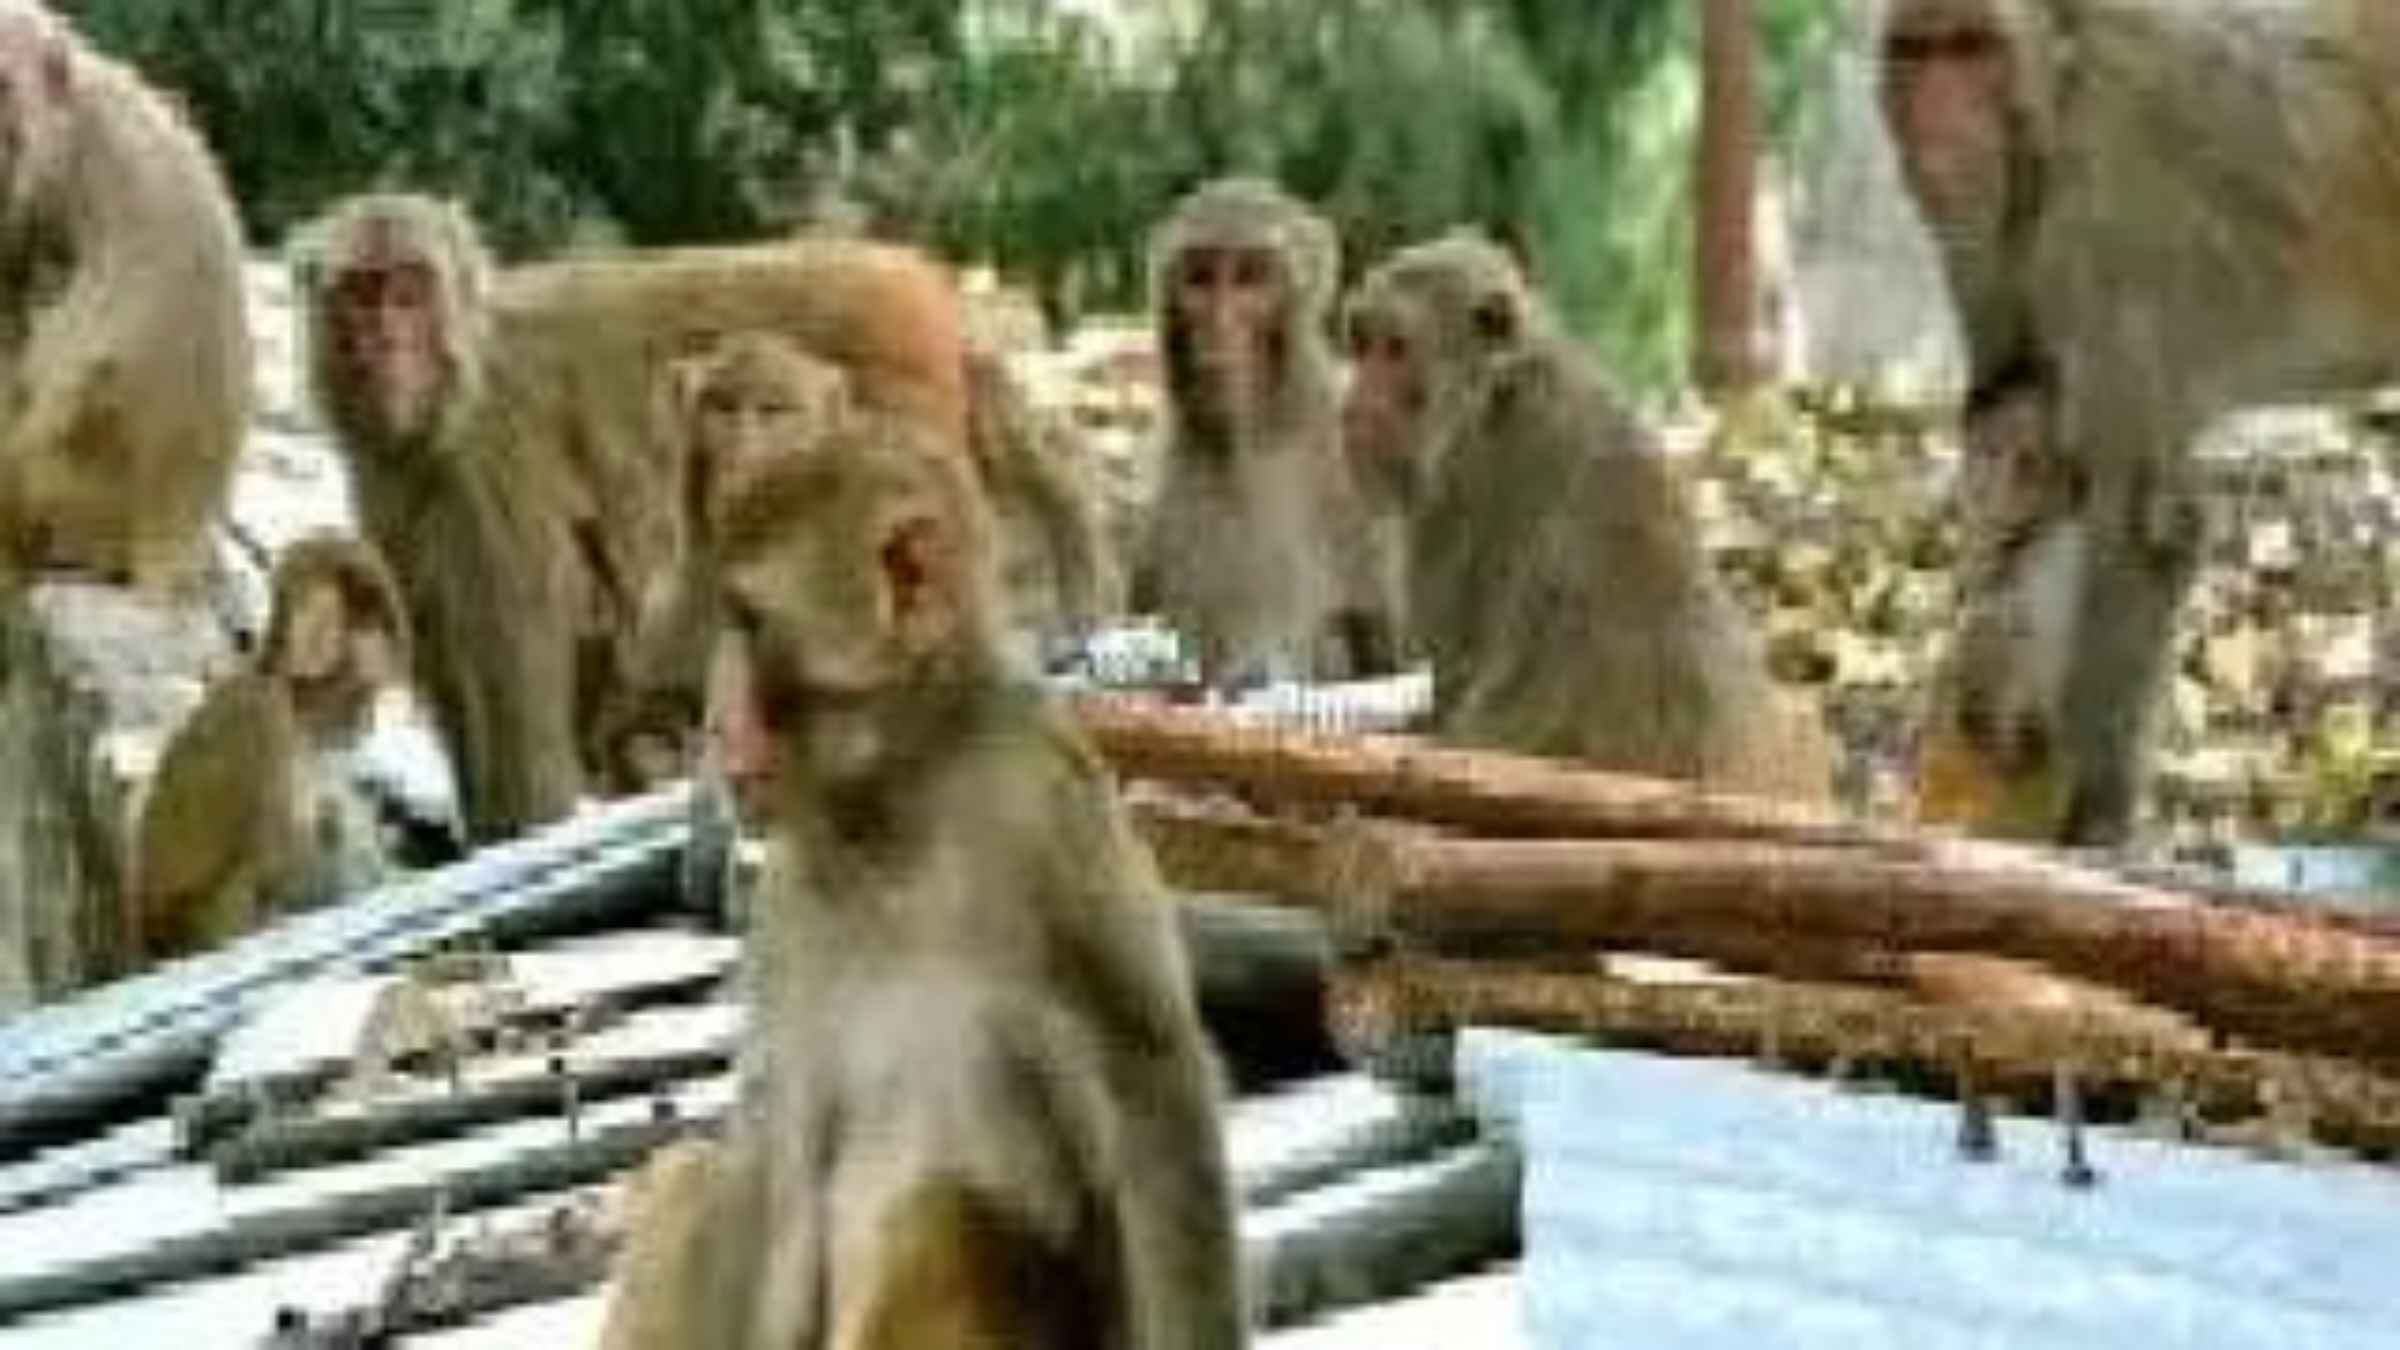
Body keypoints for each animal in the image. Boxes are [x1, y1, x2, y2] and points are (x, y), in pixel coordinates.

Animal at [598, 411, 1245, 1349]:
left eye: (747, 621)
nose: (716, 726)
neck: (897, 803)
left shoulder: (1048, 813)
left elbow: (1151, 1108)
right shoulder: (789, 905)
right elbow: (779, 1170)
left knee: (946, 1214)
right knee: (699, 1173)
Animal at [1880, 0, 2400, 843]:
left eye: (1971, 49)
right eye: (1920, 53)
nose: (1939, 118)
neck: (2060, 97)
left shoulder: (2109, 224)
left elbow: (2143, 527)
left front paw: (2090, 824)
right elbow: (2019, 427)